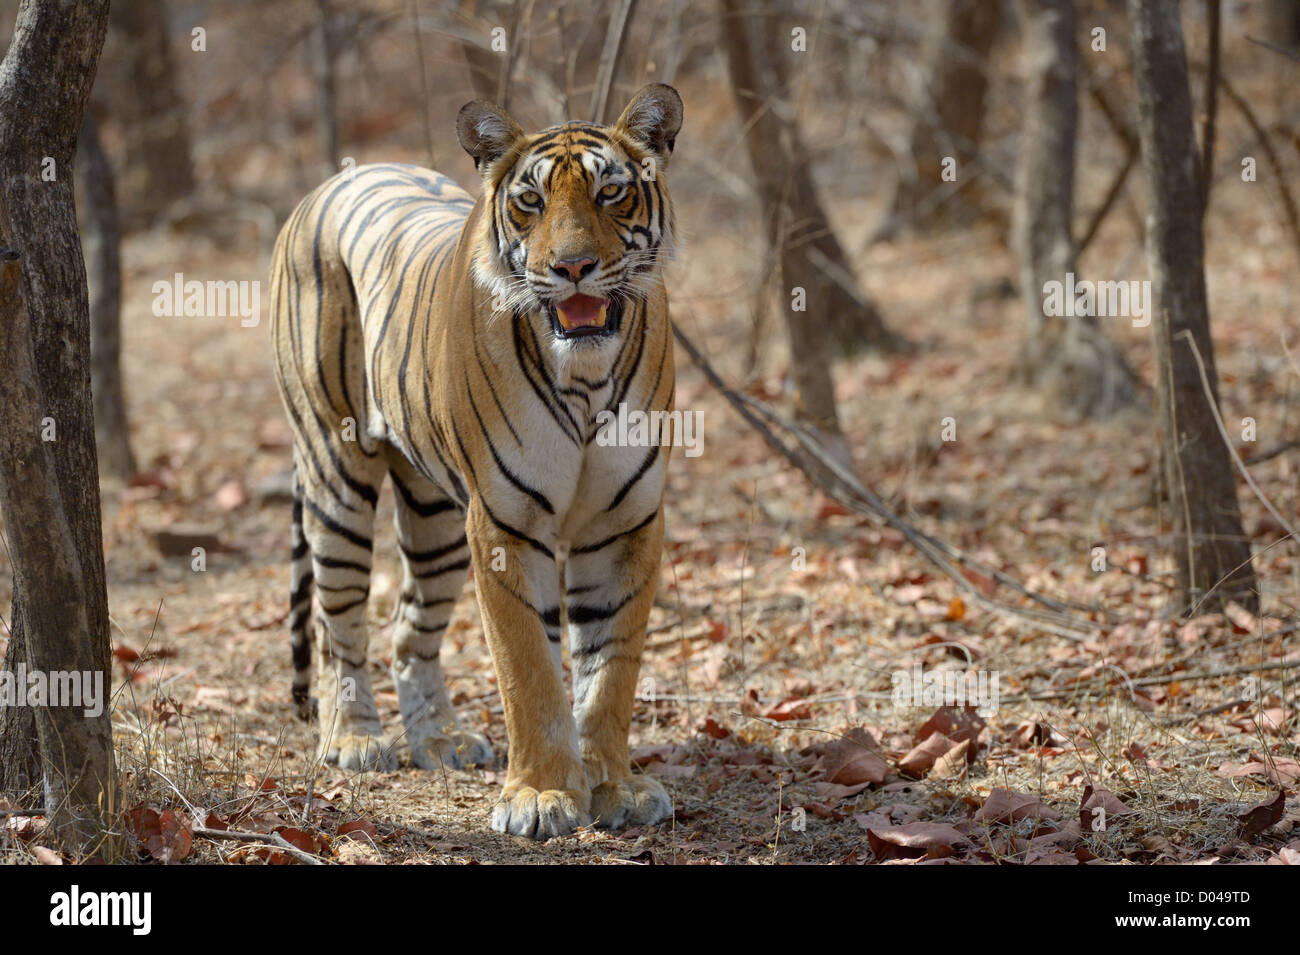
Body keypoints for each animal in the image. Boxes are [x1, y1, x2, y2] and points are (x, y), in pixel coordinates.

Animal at [269, 85, 686, 841]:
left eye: (611, 193)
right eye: (530, 201)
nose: (572, 268)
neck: (585, 377)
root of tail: (338, 178)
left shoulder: (623, 525)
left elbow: (610, 671)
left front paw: (615, 786)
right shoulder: (505, 526)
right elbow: (530, 669)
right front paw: (541, 795)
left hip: (434, 515)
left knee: (410, 627)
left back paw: (440, 738)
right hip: (335, 470)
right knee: (335, 615)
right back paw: (355, 738)